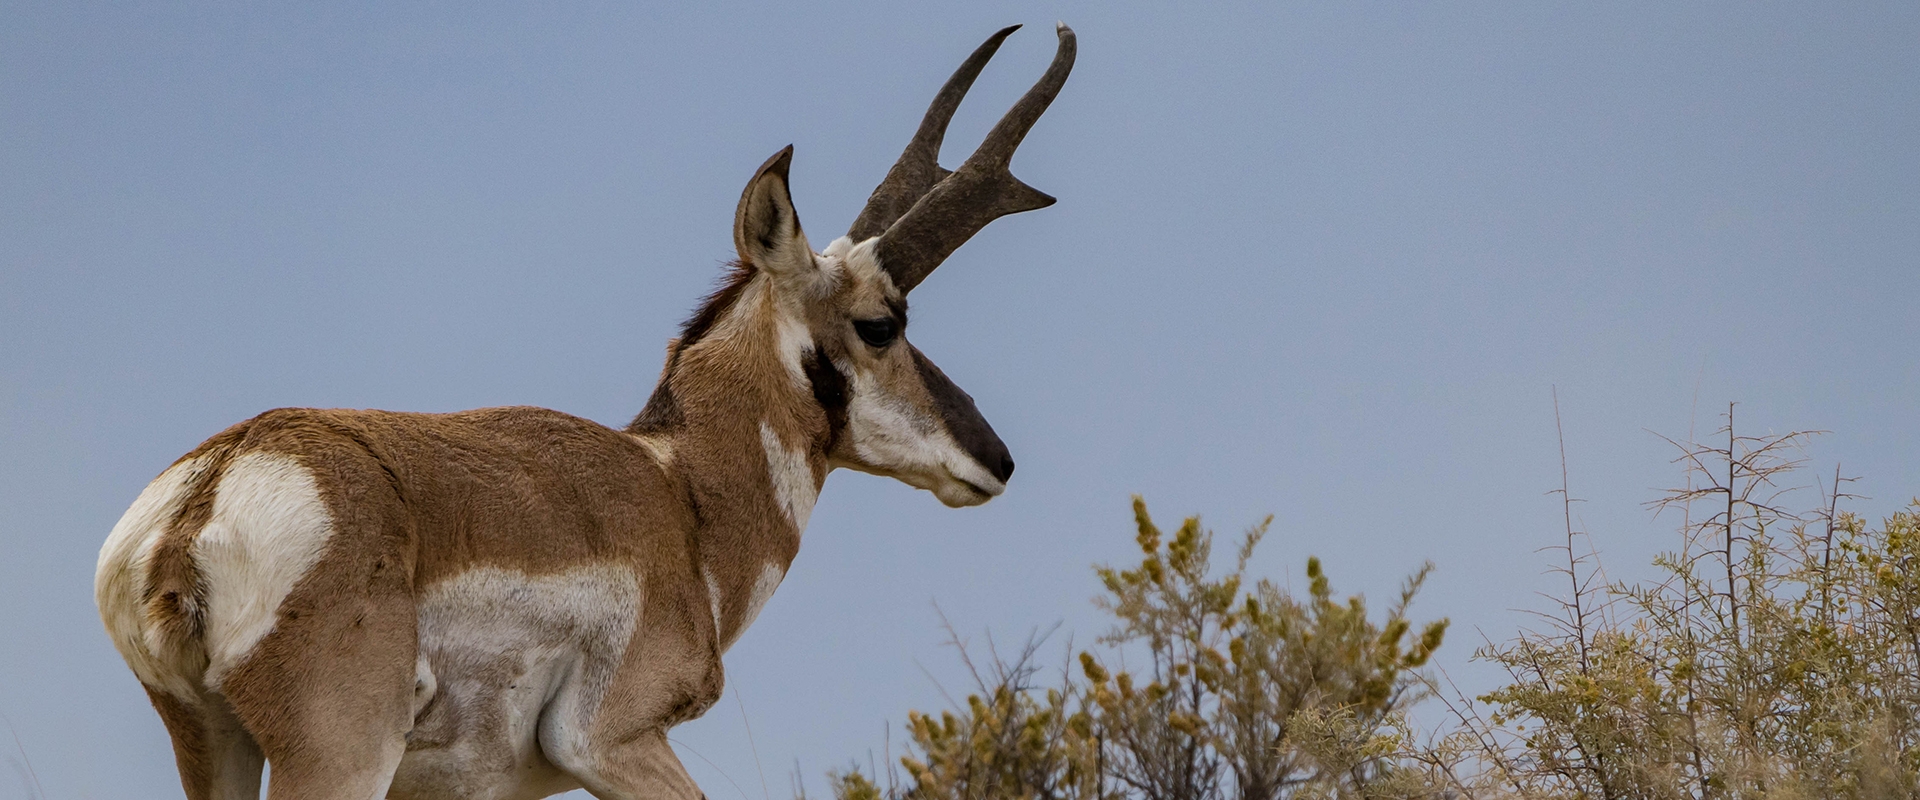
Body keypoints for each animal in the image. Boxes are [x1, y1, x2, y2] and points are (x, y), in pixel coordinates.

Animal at [97, 24, 1075, 798]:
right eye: (881, 323)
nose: (995, 458)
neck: (677, 497)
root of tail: (210, 487)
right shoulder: (613, 744)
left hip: (215, 750)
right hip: (338, 759)